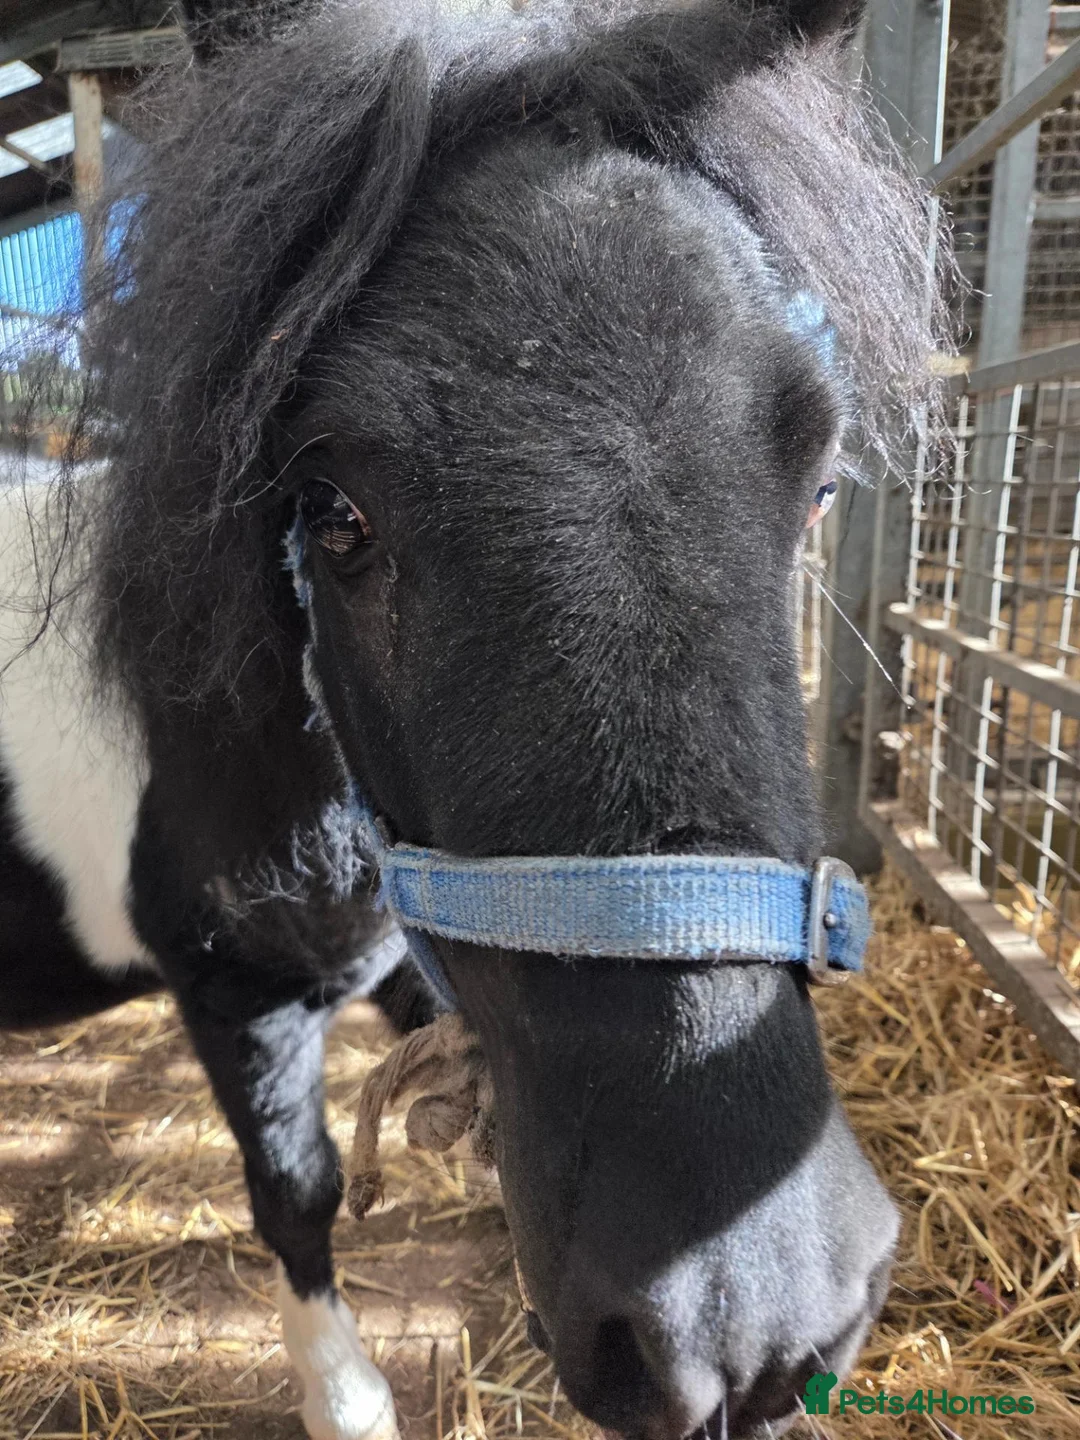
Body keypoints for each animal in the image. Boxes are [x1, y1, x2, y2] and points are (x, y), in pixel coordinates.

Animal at [0, 2, 950, 1436]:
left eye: (823, 480)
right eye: (331, 509)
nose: (747, 1320)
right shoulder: (236, 995)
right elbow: (300, 1192)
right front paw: (348, 1401)